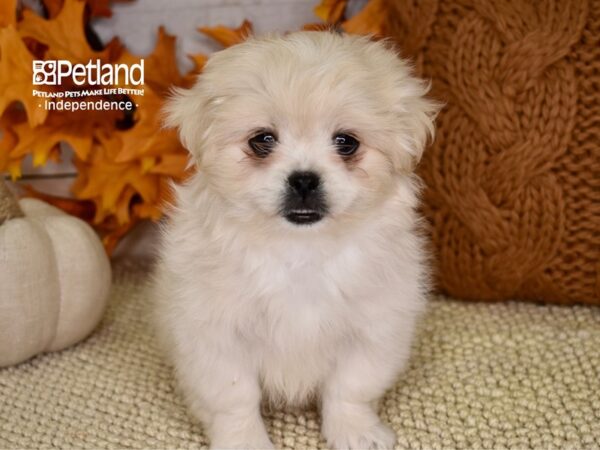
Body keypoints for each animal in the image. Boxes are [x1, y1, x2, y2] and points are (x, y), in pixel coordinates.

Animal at [154, 32, 436, 450]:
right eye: (262, 140)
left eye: (347, 143)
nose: (304, 179)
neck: (300, 249)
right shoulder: (216, 335)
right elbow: (235, 398)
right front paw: (244, 441)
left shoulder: (373, 329)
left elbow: (350, 389)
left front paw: (355, 431)